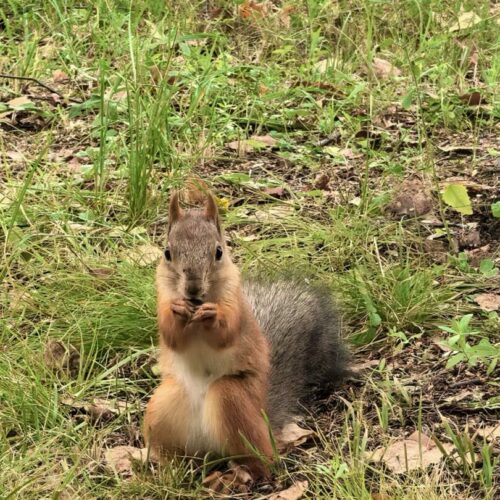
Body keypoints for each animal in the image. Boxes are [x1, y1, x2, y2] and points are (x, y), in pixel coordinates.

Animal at [143, 190, 350, 480]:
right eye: (167, 253)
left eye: (218, 252)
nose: (193, 289)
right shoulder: (161, 297)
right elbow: (171, 335)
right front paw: (178, 311)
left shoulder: (236, 304)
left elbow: (228, 332)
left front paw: (212, 314)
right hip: (161, 408)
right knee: (180, 456)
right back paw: (173, 470)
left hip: (233, 399)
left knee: (263, 460)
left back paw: (242, 474)